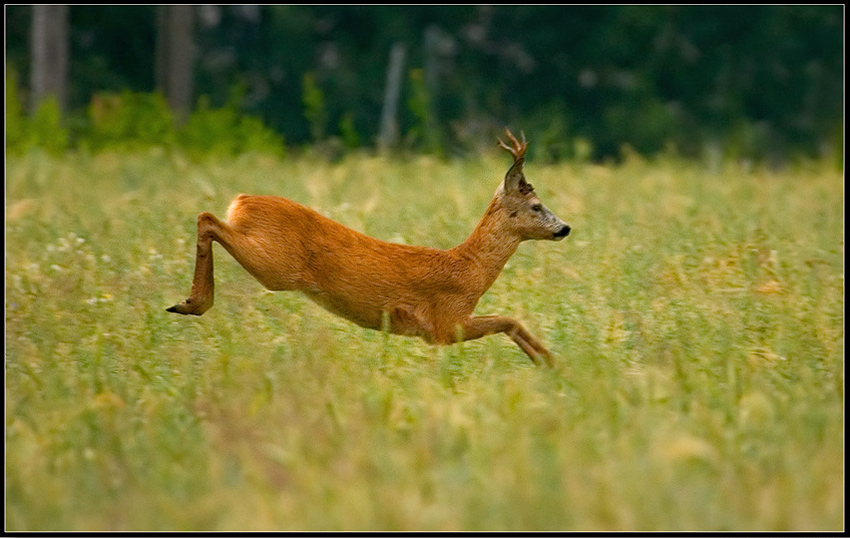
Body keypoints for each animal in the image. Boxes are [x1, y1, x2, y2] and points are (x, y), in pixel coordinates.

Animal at [167, 127, 568, 366]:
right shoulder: (444, 323)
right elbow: (509, 320)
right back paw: (193, 303)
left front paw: (549, 362)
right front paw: (549, 360)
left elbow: (511, 322)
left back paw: (186, 302)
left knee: (208, 219)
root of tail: (243, 201)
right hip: (276, 265)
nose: (564, 228)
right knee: (207, 218)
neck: (469, 269)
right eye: (536, 206)